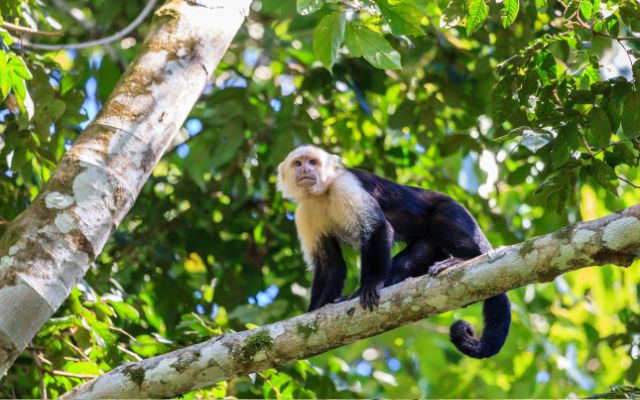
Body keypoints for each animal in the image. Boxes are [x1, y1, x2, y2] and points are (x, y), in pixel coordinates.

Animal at [278, 145, 512, 360]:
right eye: (298, 163)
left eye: (313, 162)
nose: (306, 169)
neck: (320, 194)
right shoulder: (304, 211)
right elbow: (329, 262)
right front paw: (315, 310)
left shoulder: (344, 186)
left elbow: (378, 229)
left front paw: (370, 285)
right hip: (431, 245)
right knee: (406, 263)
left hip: (456, 211)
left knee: (443, 217)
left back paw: (465, 258)